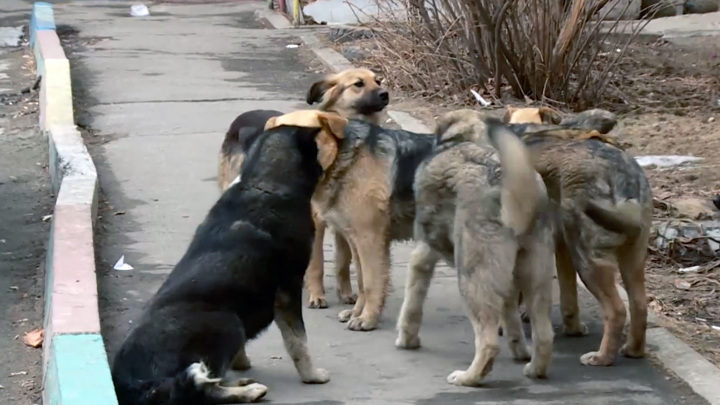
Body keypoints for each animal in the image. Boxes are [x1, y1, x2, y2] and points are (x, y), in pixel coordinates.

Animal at [112, 114, 346, 404]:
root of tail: (136, 384)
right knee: (201, 392)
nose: (328, 169)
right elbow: (298, 341)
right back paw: (248, 390)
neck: (264, 182)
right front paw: (312, 375)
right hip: (230, 323)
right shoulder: (288, 289)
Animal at [504, 105, 648, 364]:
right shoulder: (560, 248)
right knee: (639, 305)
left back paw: (602, 357)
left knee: (616, 311)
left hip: (588, 260)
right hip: (630, 259)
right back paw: (633, 350)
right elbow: (568, 298)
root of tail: (621, 178)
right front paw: (573, 328)